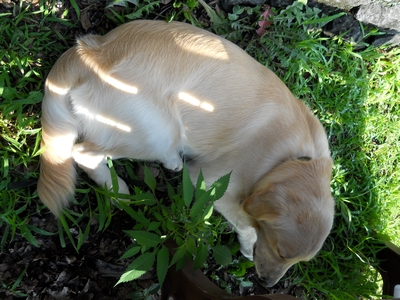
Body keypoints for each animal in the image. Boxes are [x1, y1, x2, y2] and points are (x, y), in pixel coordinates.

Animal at [39, 19, 336, 288]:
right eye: (280, 252)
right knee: (83, 153)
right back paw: (119, 191)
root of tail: (90, 50)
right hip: (154, 132)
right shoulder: (214, 184)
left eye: (297, 261)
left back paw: (170, 161)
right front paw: (248, 245)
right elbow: (248, 224)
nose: (267, 284)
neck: (288, 157)